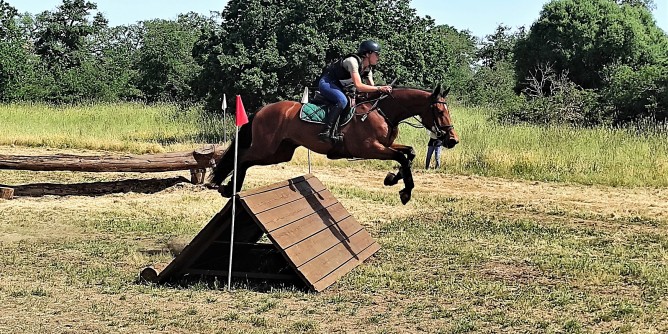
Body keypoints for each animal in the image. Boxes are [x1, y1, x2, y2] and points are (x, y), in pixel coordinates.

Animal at [209, 83, 460, 204]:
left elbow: (409, 153)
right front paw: (405, 191)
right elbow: (402, 158)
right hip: (266, 147)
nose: (452, 140)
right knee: (242, 157)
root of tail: (262, 110)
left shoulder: (385, 146)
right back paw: (230, 188)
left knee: (247, 159)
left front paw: (392, 179)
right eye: (439, 111)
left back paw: (229, 188)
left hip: (280, 152)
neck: (383, 111)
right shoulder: (370, 148)